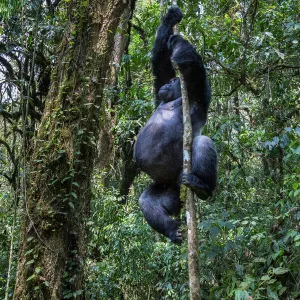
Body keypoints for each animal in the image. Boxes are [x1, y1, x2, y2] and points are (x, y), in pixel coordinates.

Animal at [134, 7, 218, 244]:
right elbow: (160, 63)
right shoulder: (159, 93)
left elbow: (193, 67)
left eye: (173, 82)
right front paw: (170, 18)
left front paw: (179, 41)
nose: (169, 84)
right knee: (149, 201)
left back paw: (203, 188)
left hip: (182, 175)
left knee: (203, 142)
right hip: (170, 188)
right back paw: (172, 229)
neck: (175, 97)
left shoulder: (198, 92)